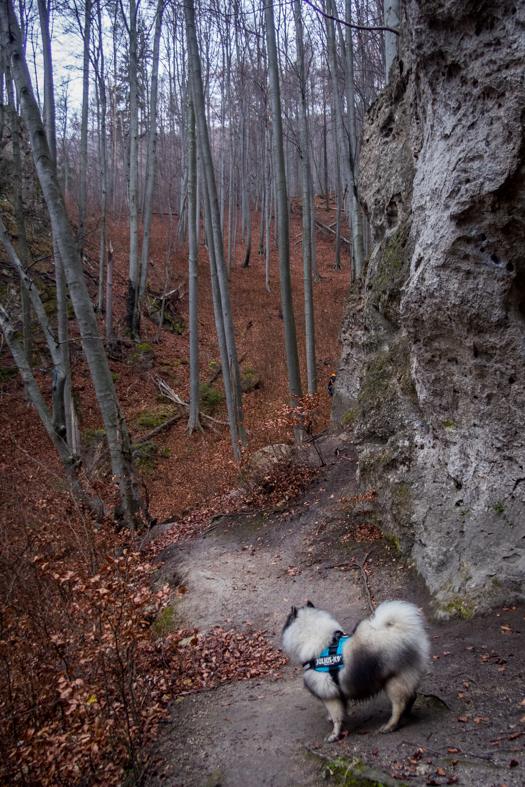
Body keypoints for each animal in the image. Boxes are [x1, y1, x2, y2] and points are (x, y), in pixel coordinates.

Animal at [284, 600, 428, 740]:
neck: (322, 643)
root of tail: (405, 631)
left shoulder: (329, 695)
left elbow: (336, 716)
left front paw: (335, 735)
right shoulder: (337, 692)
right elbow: (340, 710)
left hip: (394, 682)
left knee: (399, 706)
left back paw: (390, 726)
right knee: (411, 697)